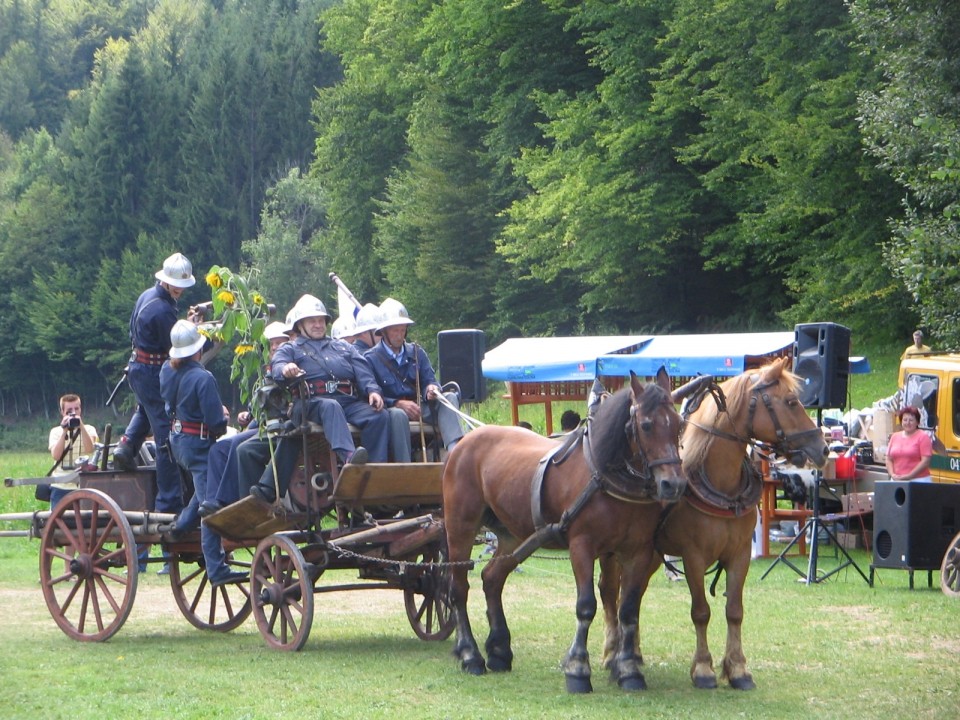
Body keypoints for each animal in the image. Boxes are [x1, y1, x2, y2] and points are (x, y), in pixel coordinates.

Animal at [442, 372, 688, 692]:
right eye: (646, 425)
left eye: (679, 424)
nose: (674, 484)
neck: (604, 475)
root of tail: (463, 443)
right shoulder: (581, 546)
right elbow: (586, 606)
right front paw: (578, 669)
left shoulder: (637, 551)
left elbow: (628, 610)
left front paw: (629, 670)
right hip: (460, 526)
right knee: (459, 588)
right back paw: (470, 654)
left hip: (512, 535)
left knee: (492, 578)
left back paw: (499, 650)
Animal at [596, 358, 828, 688]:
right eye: (791, 402)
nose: (823, 448)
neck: (722, 485)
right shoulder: (693, 556)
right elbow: (701, 611)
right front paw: (704, 669)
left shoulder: (739, 555)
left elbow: (735, 611)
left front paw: (738, 668)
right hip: (615, 551)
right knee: (609, 593)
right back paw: (612, 652)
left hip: (649, 554)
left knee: (634, 597)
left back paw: (634, 654)